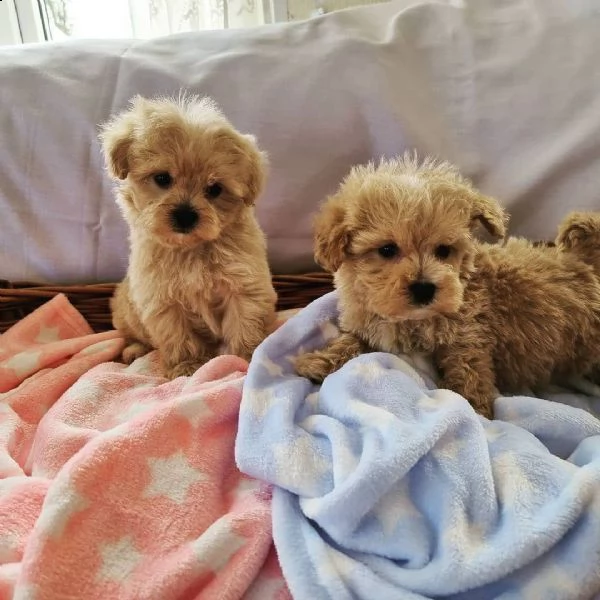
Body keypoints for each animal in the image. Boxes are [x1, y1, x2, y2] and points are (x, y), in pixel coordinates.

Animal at [99, 93, 276, 378]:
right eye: (162, 178)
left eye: (214, 189)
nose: (185, 215)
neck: (190, 248)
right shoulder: (162, 301)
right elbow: (179, 336)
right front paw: (187, 367)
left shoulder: (245, 286)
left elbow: (245, 323)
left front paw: (248, 358)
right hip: (125, 314)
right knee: (130, 335)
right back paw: (133, 350)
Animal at [292, 155, 600, 418]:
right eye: (387, 249)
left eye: (443, 250)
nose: (424, 288)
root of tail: (584, 261)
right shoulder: (373, 325)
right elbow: (350, 340)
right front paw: (319, 361)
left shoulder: (468, 338)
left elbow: (468, 371)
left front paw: (475, 412)